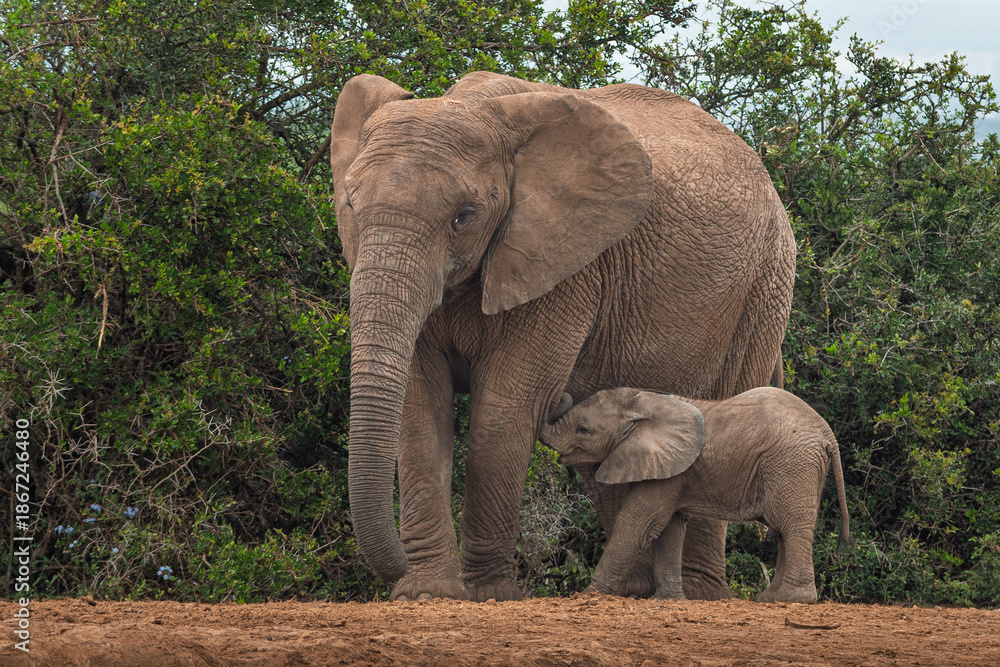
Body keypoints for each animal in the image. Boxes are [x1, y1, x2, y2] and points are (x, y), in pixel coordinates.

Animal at [331, 70, 796, 602]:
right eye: (349, 204)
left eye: (463, 215)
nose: (394, 566)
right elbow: (419, 402)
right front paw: (428, 594)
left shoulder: (566, 266)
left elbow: (505, 407)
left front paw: (489, 596)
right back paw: (631, 593)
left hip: (764, 288)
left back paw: (699, 596)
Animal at [540, 387, 853, 603]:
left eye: (583, 430)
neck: (644, 401)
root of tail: (828, 434)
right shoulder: (672, 470)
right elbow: (668, 528)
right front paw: (668, 600)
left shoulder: (669, 469)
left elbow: (638, 523)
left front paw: (588, 594)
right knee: (783, 529)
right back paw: (770, 599)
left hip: (791, 463)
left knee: (790, 524)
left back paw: (792, 600)